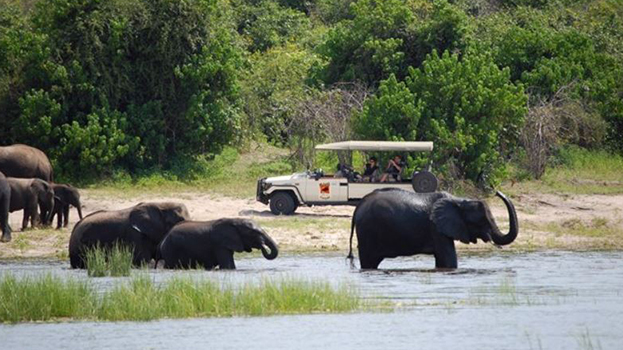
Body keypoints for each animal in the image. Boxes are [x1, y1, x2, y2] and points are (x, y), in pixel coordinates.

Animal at [348, 189, 520, 268]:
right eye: (482, 221)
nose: (496, 192)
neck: (458, 200)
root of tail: (358, 206)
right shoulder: (436, 228)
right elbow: (449, 261)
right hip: (368, 231)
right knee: (369, 261)